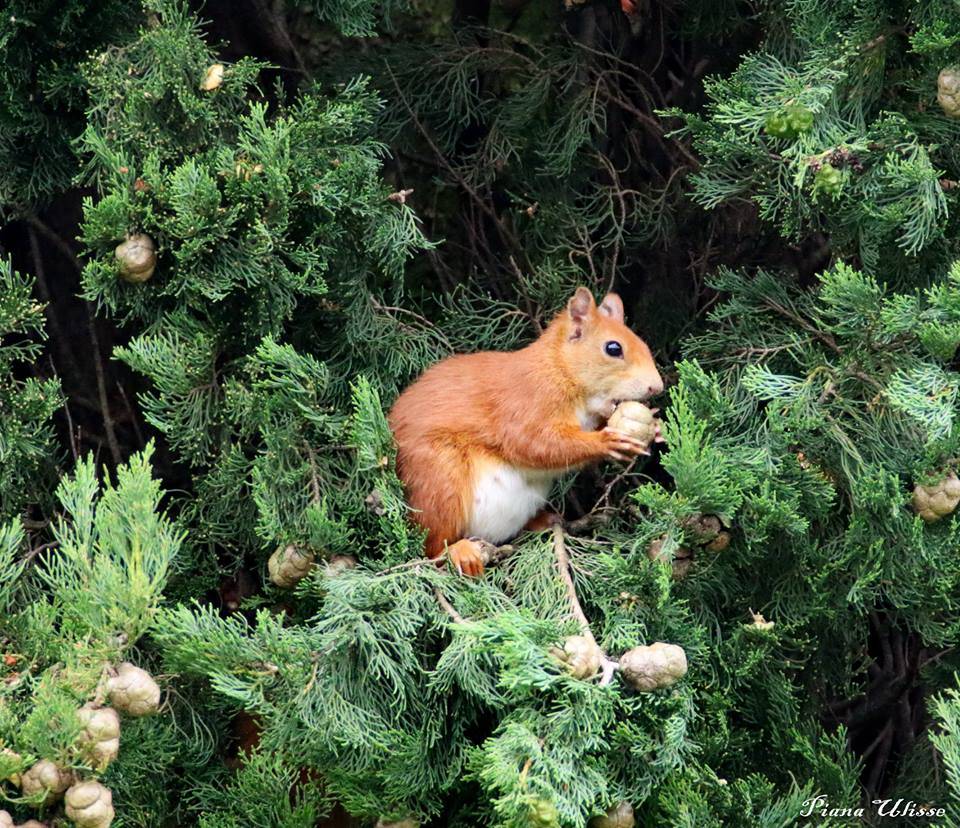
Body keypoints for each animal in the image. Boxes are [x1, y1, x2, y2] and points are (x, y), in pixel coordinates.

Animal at [386, 290, 664, 576]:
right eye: (613, 348)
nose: (657, 387)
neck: (560, 370)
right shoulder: (525, 403)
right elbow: (533, 444)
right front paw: (606, 441)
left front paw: (654, 427)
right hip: (440, 482)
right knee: (431, 547)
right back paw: (457, 552)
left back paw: (542, 521)